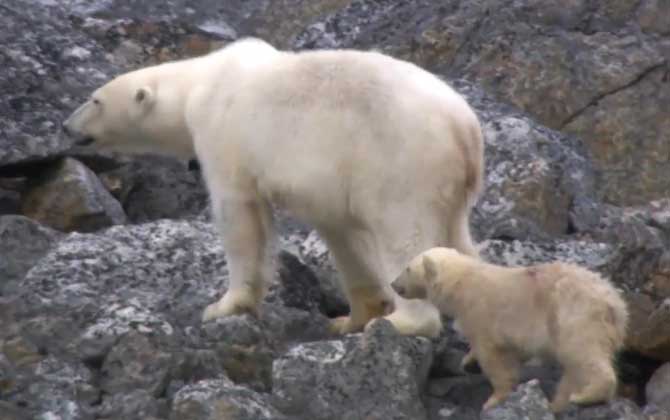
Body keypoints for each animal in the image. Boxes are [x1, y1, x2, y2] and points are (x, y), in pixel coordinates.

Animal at [63, 37, 486, 336]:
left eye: (94, 99)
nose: (66, 126)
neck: (199, 84)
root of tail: (464, 126)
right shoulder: (332, 179)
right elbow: (341, 232)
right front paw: (349, 318)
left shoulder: (225, 135)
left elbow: (240, 216)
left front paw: (224, 306)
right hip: (446, 184)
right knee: (458, 241)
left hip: (400, 162)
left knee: (403, 235)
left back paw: (406, 321)